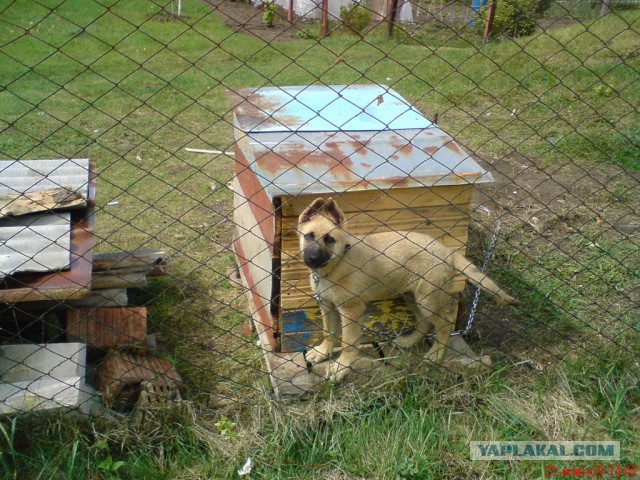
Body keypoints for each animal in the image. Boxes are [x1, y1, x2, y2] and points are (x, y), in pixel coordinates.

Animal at [298, 196, 516, 382]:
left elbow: (348, 343)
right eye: (308, 236)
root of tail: (448, 251)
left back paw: (436, 355)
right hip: (412, 295)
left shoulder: (351, 309)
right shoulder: (327, 305)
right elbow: (328, 332)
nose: (313, 259)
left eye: (329, 240)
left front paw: (341, 367)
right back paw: (409, 342)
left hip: (427, 299)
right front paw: (322, 352)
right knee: (424, 322)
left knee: (444, 324)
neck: (336, 264)